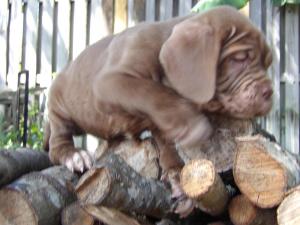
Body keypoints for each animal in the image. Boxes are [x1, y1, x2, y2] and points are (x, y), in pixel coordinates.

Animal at [44, 6, 272, 216]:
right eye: (240, 58)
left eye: (267, 63)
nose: (269, 92)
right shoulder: (109, 82)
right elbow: (152, 92)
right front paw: (191, 124)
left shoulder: (158, 123)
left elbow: (167, 144)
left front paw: (177, 176)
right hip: (60, 107)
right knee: (56, 143)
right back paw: (73, 156)